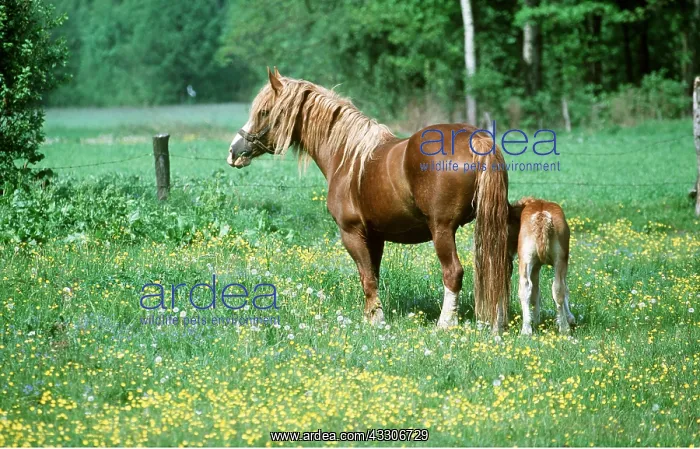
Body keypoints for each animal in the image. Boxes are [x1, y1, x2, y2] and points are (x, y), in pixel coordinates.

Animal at [227, 67, 511, 332]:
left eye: (264, 112)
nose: (234, 151)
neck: (347, 156)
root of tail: (477, 140)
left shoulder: (352, 233)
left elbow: (366, 277)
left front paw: (375, 320)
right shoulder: (376, 237)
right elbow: (373, 274)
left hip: (442, 230)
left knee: (453, 273)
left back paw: (444, 324)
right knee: (497, 268)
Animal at [507, 197, 575, 335]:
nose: (509, 254)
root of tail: (541, 215)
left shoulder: (535, 266)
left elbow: (535, 292)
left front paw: (536, 320)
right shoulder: (561, 262)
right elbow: (565, 289)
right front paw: (570, 318)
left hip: (526, 260)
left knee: (525, 287)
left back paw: (526, 329)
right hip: (560, 260)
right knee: (558, 288)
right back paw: (564, 328)